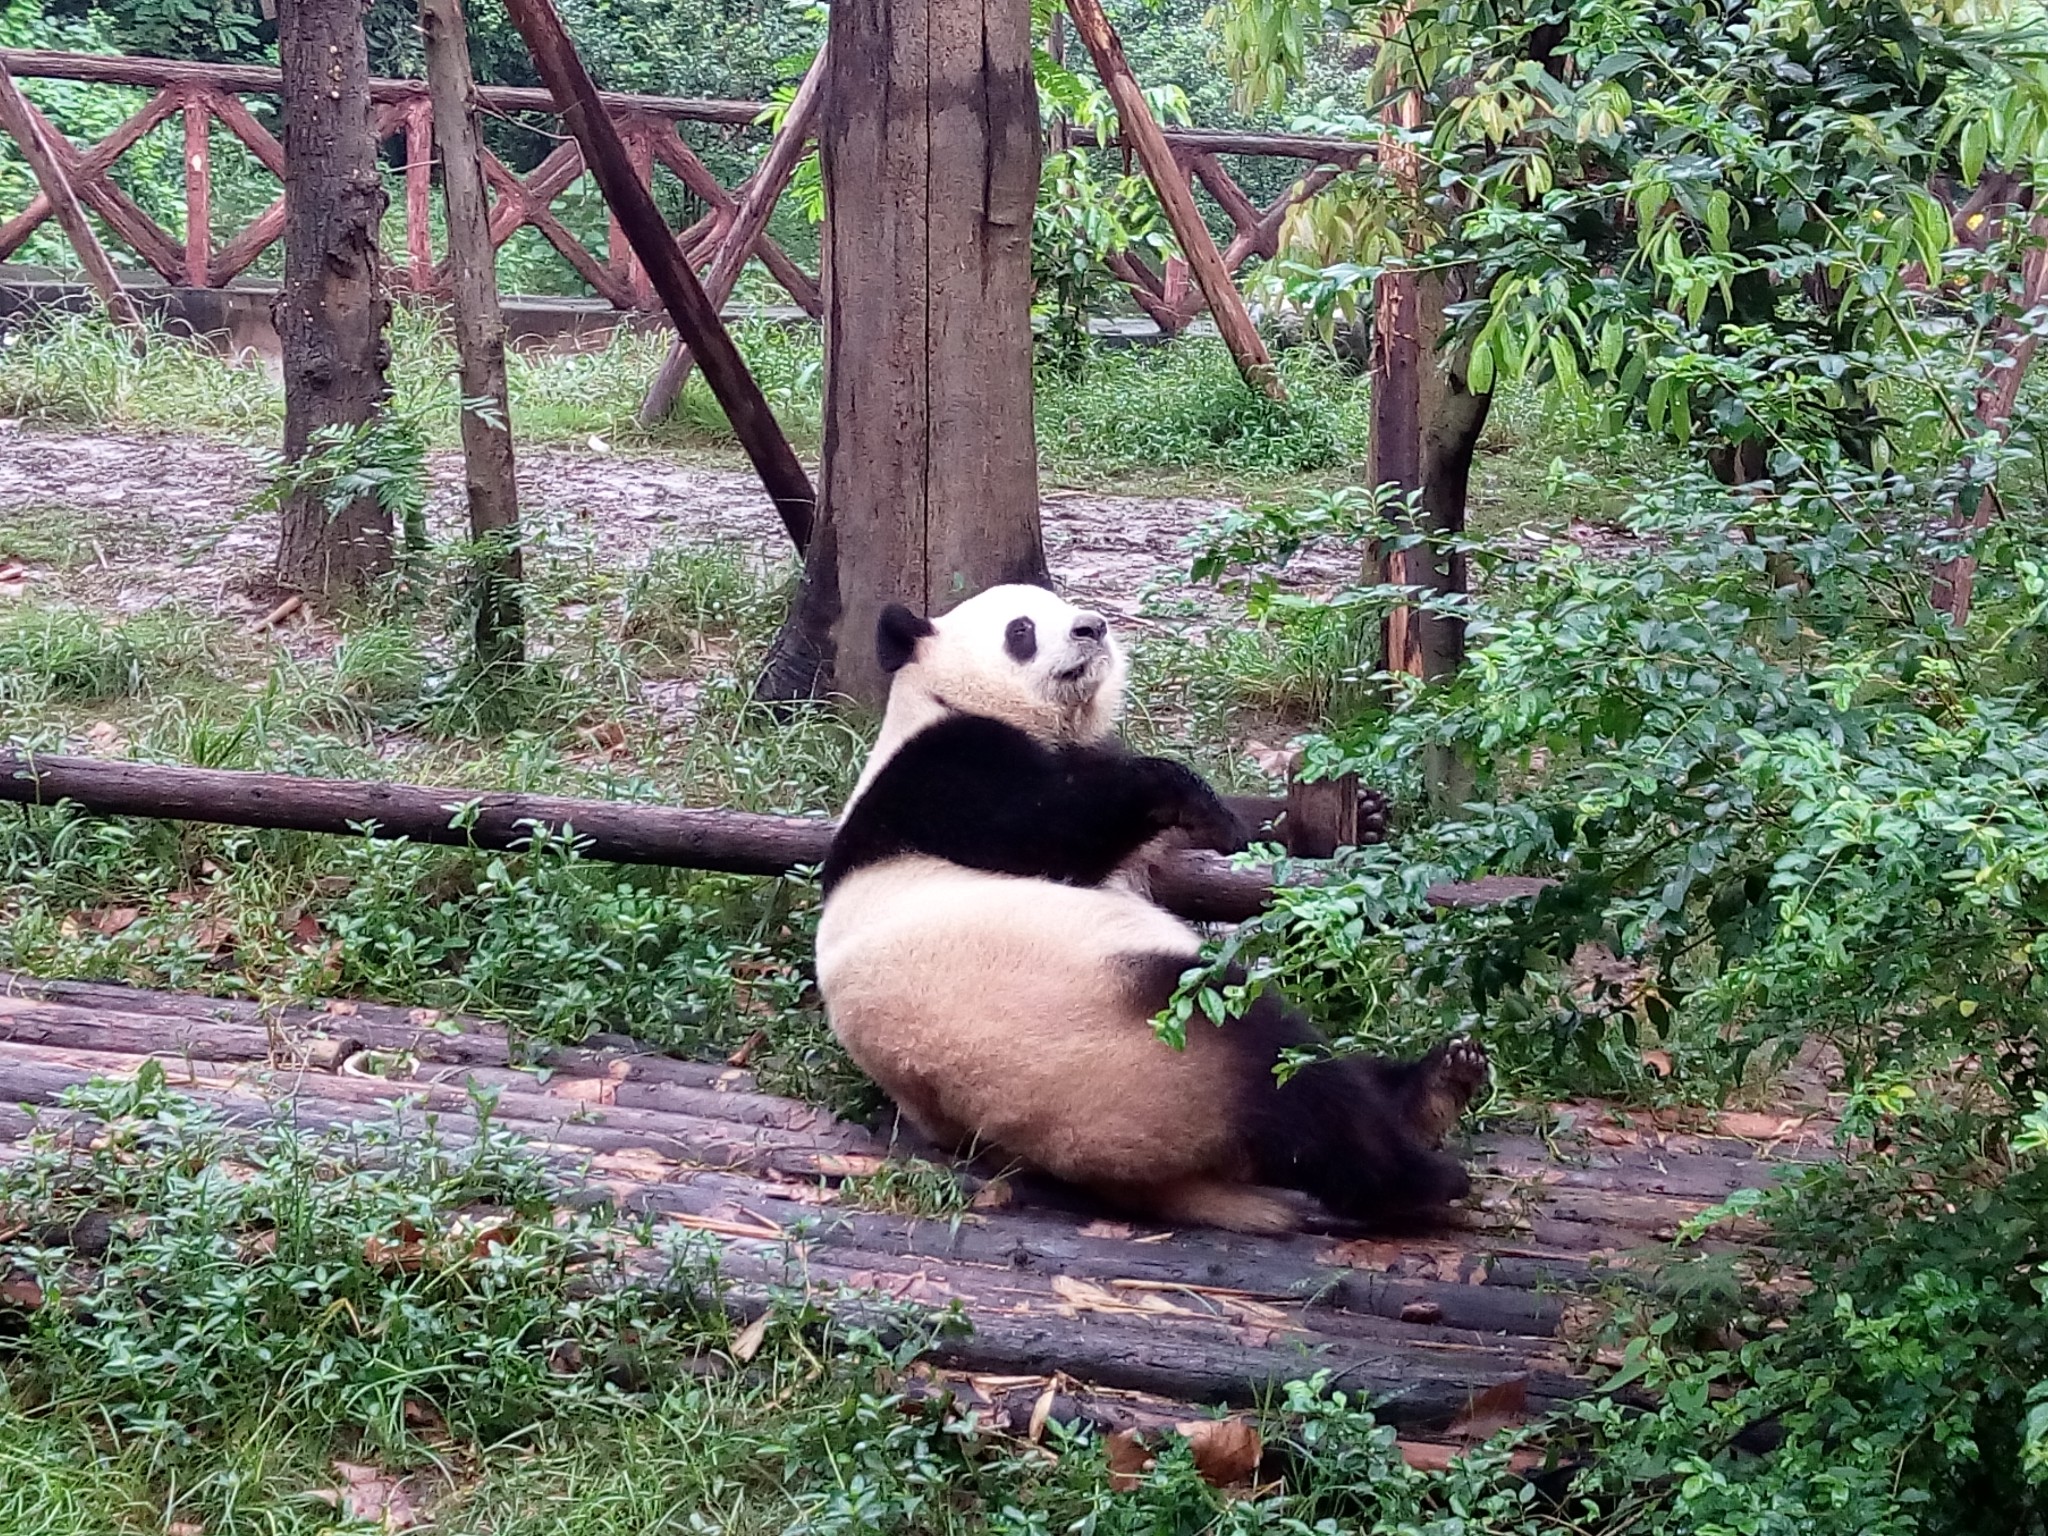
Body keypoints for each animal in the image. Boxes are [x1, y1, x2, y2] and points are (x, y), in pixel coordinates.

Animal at [815, 581, 1490, 1236]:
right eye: (1021, 630)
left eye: (1062, 604)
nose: (1092, 627)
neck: (943, 697)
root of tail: (1148, 1180)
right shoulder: (941, 772)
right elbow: (1047, 827)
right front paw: (1196, 798)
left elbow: (1170, 847)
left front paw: (1354, 817)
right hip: (1142, 1045)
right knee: (1282, 1067)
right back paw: (1418, 1176)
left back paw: (1437, 1084)